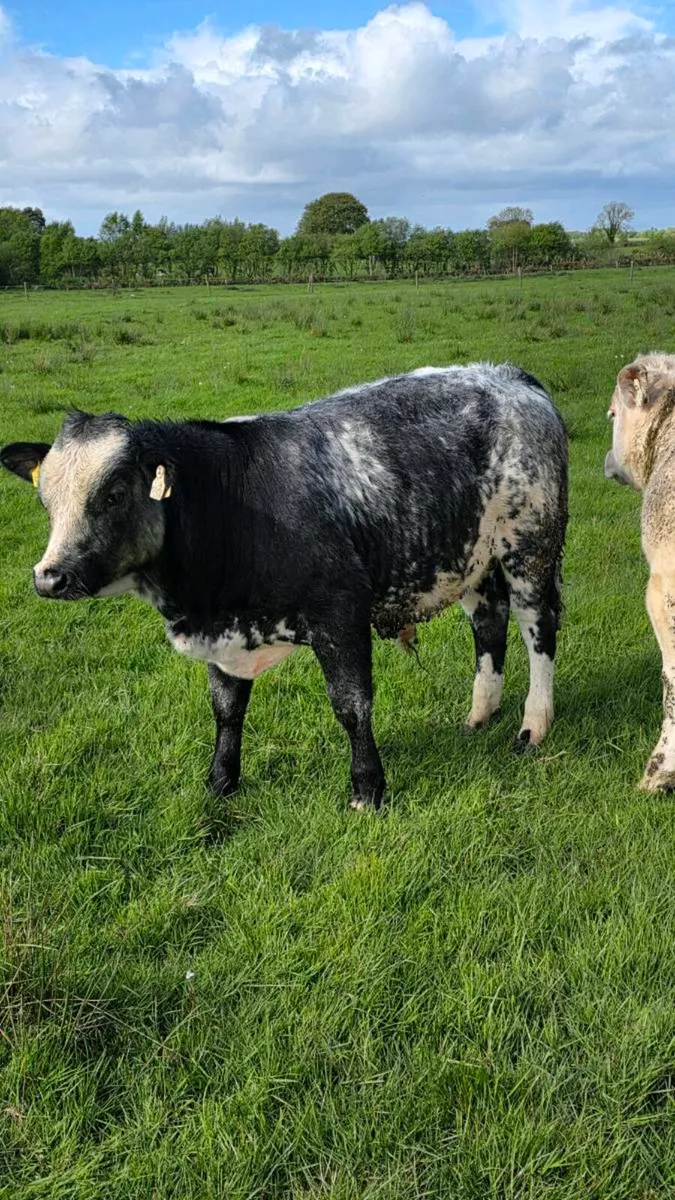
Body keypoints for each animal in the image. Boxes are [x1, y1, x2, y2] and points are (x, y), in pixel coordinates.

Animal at [1, 363, 568, 811]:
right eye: (46, 501)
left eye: (115, 493)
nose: (49, 576)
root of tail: (507, 375)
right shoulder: (224, 632)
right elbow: (227, 710)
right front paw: (220, 783)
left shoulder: (340, 613)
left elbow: (351, 705)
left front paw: (367, 789)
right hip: (472, 558)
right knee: (488, 626)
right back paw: (479, 715)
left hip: (530, 548)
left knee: (538, 631)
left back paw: (532, 725)